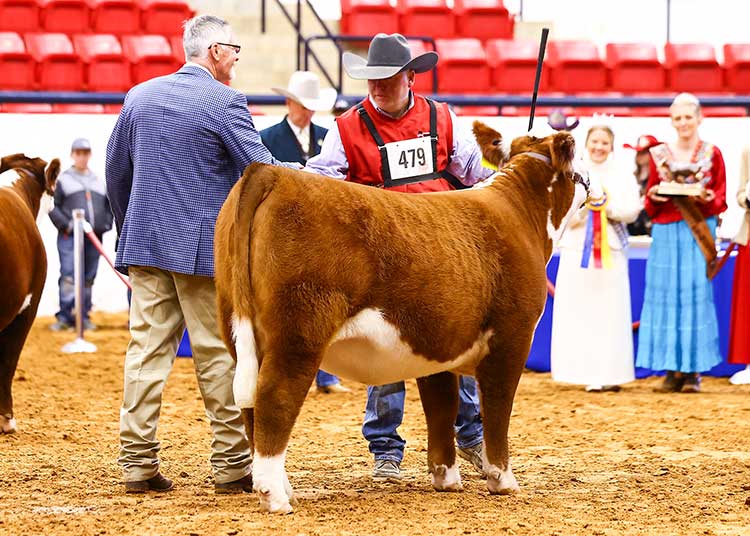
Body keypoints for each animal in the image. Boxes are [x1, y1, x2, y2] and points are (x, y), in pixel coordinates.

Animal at [214, 125, 596, 516]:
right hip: (298, 334)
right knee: (274, 398)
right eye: (580, 155)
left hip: (236, 326)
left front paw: (446, 478)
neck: (520, 213)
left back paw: (284, 489)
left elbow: (441, 408)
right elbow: (497, 408)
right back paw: (275, 497)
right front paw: (502, 480)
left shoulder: (438, 344)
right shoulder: (511, 337)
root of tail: (270, 173)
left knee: (249, 406)